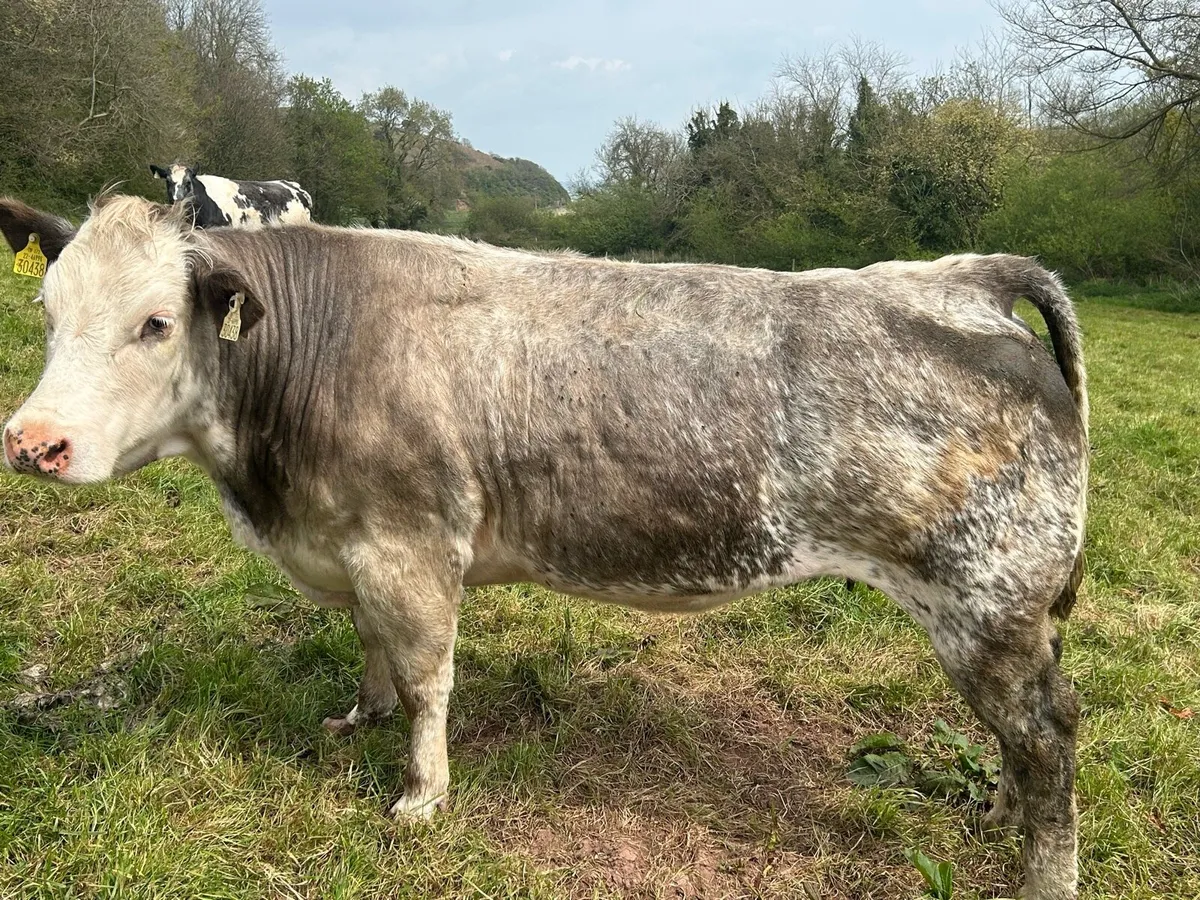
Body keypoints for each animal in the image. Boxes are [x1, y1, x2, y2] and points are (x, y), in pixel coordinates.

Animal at [0, 194, 1088, 900]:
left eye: (155, 323)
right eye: (46, 311)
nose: (33, 442)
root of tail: (968, 276)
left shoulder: (408, 542)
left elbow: (428, 678)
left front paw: (420, 797)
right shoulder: (354, 542)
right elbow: (373, 649)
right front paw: (360, 713)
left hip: (985, 597)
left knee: (1047, 737)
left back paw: (1043, 874)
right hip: (1006, 614)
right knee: (1026, 731)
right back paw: (997, 817)